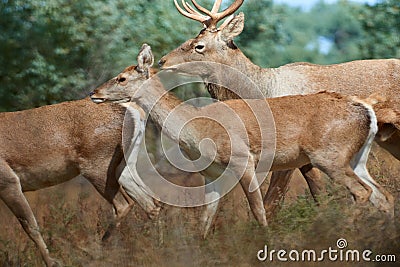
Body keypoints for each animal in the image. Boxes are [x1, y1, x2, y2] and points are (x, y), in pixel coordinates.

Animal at [0, 96, 160, 266]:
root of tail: (135, 111)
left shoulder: (8, 180)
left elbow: (30, 226)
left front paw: (53, 262)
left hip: (97, 165)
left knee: (124, 204)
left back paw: (96, 253)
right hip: (124, 165)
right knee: (151, 202)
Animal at [90, 44, 394, 241]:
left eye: (122, 77)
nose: (95, 93)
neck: (198, 128)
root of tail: (366, 109)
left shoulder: (243, 159)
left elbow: (259, 210)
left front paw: (265, 242)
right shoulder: (212, 174)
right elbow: (204, 219)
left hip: (329, 155)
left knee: (363, 192)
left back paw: (343, 233)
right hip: (357, 158)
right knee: (383, 195)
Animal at [159, 0, 400, 219]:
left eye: (199, 45)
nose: (162, 61)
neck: (261, 91)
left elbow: (272, 201)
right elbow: (318, 194)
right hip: (388, 139)